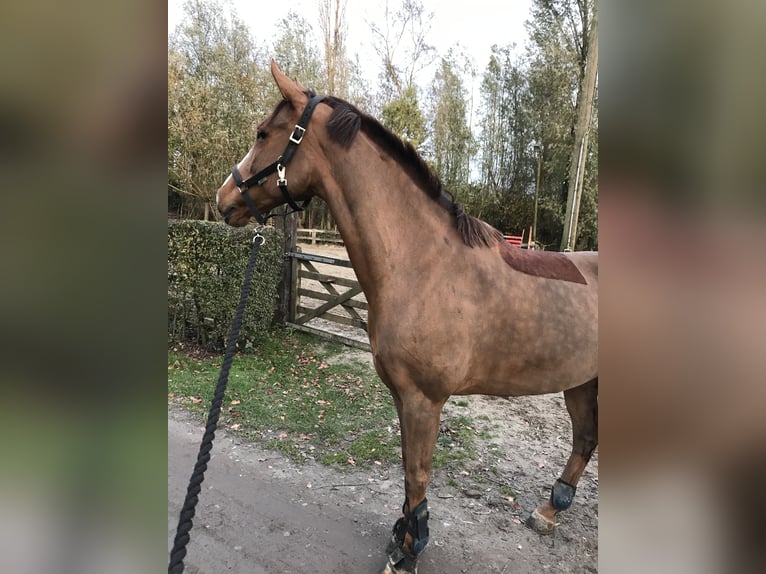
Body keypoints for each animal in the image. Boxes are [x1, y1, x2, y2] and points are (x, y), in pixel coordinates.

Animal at [216, 60, 600, 572]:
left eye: (263, 133)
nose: (223, 200)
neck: (422, 264)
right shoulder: (402, 396)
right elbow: (404, 469)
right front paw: (402, 536)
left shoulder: (424, 399)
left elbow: (417, 472)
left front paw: (410, 551)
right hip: (580, 380)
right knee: (584, 440)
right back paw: (549, 510)